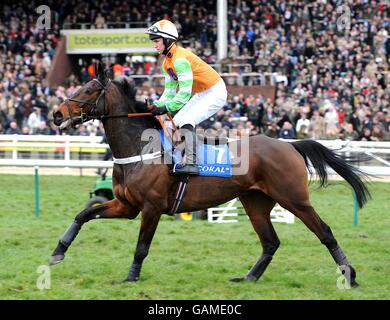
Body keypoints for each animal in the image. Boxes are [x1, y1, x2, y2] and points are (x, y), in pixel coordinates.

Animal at [51, 62, 368, 284]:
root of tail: (290, 146)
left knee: (325, 232)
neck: (139, 149)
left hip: (294, 199)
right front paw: (58, 251)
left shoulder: (151, 207)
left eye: (89, 90)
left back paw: (349, 275)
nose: (56, 114)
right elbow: (84, 214)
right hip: (255, 202)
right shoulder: (127, 206)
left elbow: (141, 247)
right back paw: (248, 277)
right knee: (270, 242)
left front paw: (130, 277)